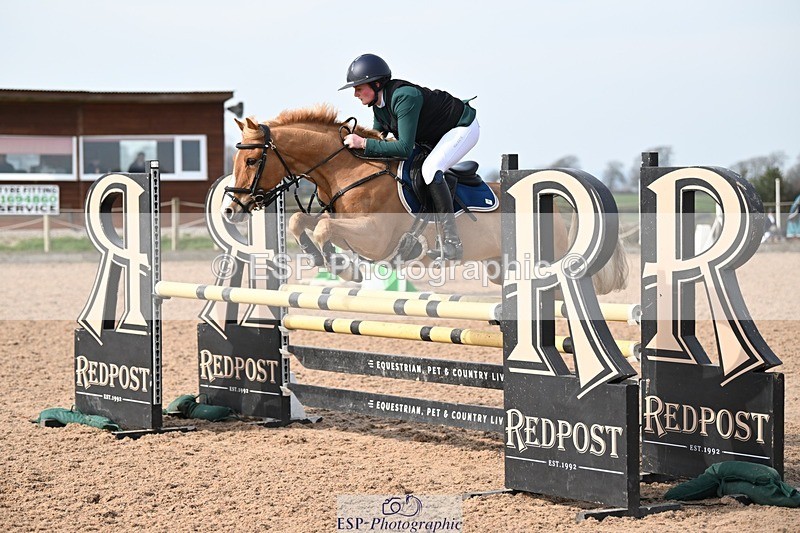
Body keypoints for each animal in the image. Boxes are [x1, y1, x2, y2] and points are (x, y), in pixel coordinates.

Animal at [225, 105, 628, 293]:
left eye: (251, 160)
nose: (232, 209)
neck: (349, 170)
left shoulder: (374, 236)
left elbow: (324, 228)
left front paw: (344, 268)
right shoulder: (345, 221)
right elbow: (301, 220)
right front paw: (320, 258)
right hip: (501, 268)